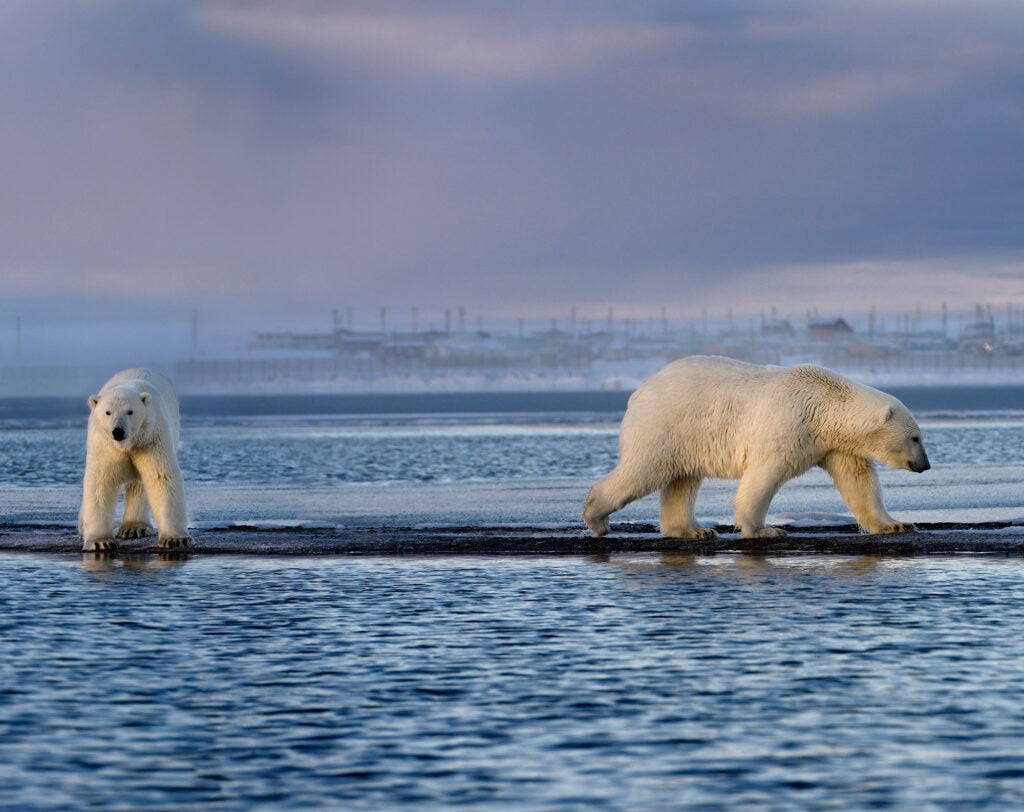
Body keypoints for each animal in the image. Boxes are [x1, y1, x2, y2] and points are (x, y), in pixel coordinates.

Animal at [78, 368, 192, 552]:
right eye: (108, 412)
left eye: (130, 411)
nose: (118, 431)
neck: (127, 445)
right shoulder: (105, 447)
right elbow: (101, 482)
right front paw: (101, 542)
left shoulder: (150, 440)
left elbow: (161, 478)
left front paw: (175, 539)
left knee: (139, 486)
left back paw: (134, 528)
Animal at [584, 356, 930, 539]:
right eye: (916, 438)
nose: (925, 464)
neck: (824, 404)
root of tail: (638, 392)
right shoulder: (790, 424)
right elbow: (765, 475)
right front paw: (765, 531)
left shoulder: (835, 446)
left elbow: (858, 482)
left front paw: (897, 524)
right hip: (665, 426)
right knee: (645, 470)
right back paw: (596, 518)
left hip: (687, 436)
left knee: (682, 480)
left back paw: (694, 530)